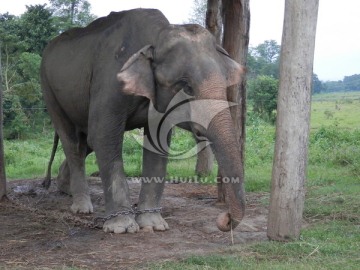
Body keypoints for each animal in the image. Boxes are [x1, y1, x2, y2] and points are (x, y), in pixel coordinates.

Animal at [40, 8, 246, 234]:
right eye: (186, 86)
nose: (224, 218)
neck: (157, 35)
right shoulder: (110, 80)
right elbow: (103, 136)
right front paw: (122, 227)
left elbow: (158, 144)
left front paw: (154, 225)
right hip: (49, 90)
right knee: (73, 141)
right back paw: (82, 207)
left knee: (85, 142)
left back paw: (65, 187)